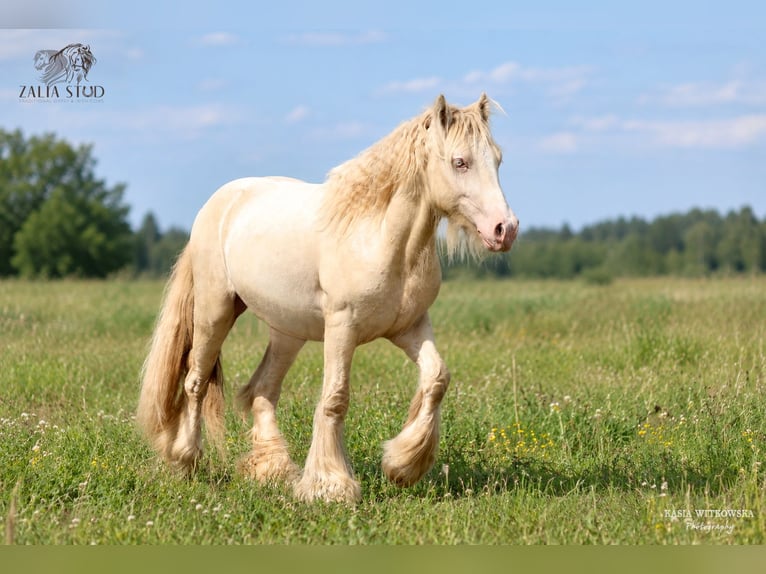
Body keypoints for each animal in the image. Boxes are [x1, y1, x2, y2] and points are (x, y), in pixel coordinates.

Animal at [137, 94, 519, 503]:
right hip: (215, 312)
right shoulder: (342, 327)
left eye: (498, 159)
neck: (380, 238)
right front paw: (330, 485)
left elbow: (436, 379)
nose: (505, 229)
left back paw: (272, 469)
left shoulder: (410, 327)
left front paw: (403, 466)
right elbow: (335, 398)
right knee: (196, 380)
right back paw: (185, 460)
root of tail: (219, 202)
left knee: (262, 390)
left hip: (287, 332)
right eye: (459, 162)